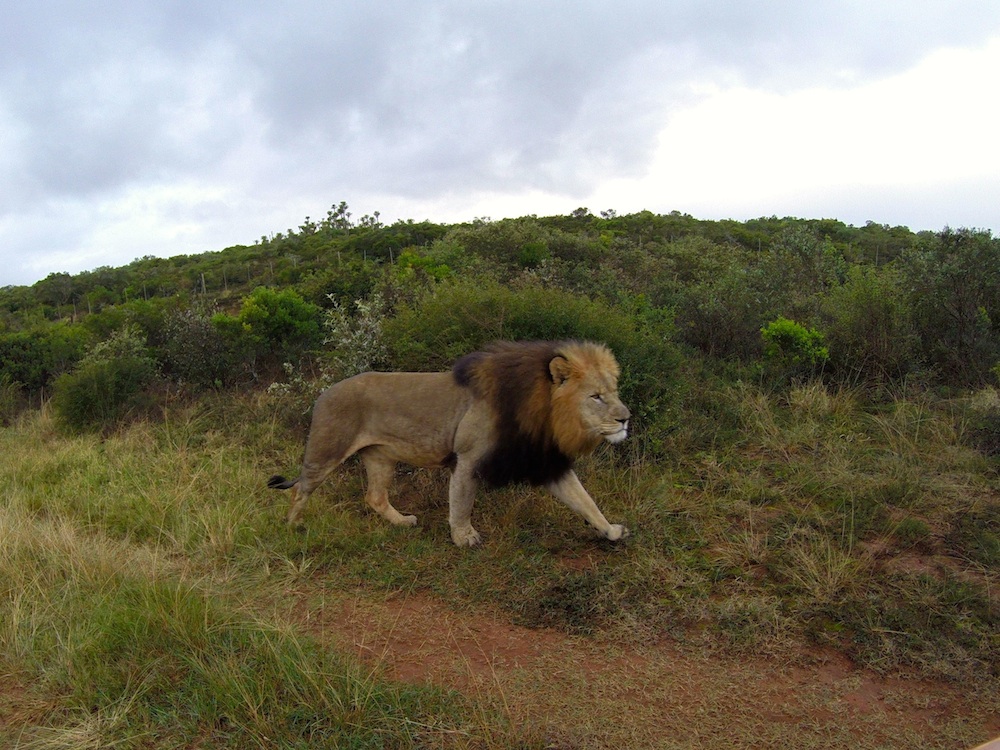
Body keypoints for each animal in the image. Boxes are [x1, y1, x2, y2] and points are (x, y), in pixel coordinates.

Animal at [270, 340, 628, 548]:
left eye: (613, 391)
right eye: (596, 397)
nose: (626, 418)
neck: (543, 415)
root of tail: (322, 393)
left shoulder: (546, 463)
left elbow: (586, 502)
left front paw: (611, 531)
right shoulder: (468, 458)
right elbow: (462, 502)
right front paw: (464, 537)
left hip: (380, 457)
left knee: (374, 497)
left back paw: (403, 523)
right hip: (327, 449)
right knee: (299, 488)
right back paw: (292, 526)